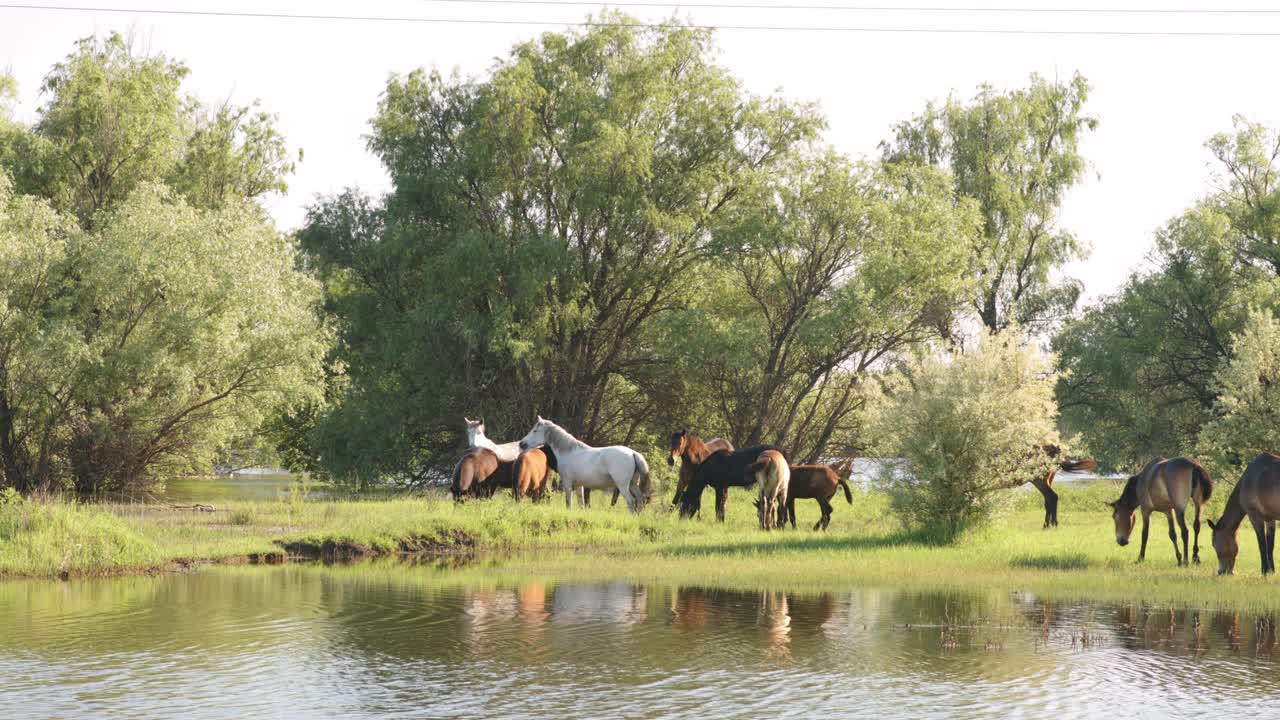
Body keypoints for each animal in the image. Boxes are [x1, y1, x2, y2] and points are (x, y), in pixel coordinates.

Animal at [517, 416, 651, 513]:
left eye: (535, 430)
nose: (521, 444)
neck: (568, 452)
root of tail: (633, 453)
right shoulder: (579, 485)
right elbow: (581, 503)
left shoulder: (567, 483)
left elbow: (568, 502)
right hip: (633, 484)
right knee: (640, 499)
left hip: (623, 485)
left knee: (631, 501)